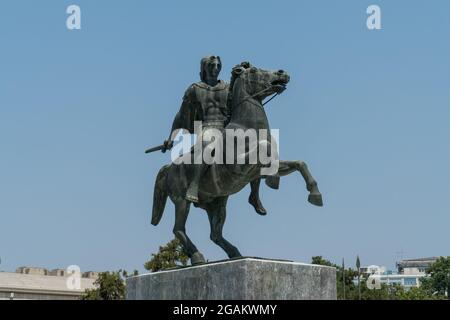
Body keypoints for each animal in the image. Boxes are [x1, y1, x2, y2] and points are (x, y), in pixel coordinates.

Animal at [149, 62, 322, 264]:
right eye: (254, 70)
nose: (282, 73)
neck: (247, 128)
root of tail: (169, 168)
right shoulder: (238, 166)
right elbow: (264, 148)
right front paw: (273, 181)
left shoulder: (260, 169)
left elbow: (299, 163)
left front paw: (314, 194)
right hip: (181, 201)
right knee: (178, 229)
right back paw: (198, 256)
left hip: (217, 204)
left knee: (215, 234)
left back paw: (235, 252)